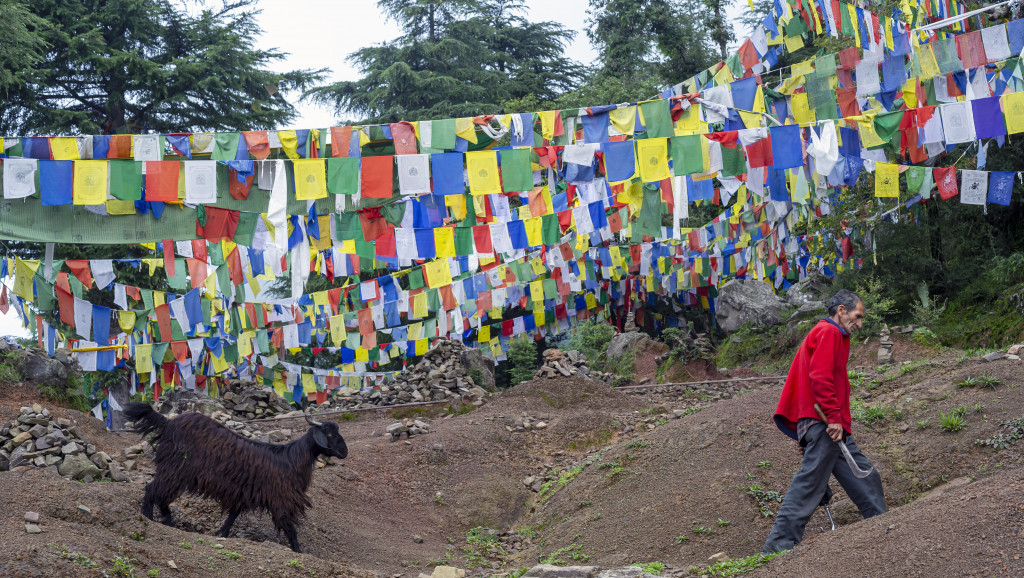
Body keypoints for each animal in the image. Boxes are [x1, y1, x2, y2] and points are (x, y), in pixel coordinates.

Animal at [122, 401, 348, 549]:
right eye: (329, 434)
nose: (344, 452)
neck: (291, 459)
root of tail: (167, 423)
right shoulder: (281, 498)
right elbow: (289, 526)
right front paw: (298, 550)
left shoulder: (245, 491)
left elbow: (233, 514)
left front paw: (221, 533)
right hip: (174, 469)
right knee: (152, 489)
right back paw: (149, 518)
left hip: (176, 473)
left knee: (161, 495)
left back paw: (168, 522)